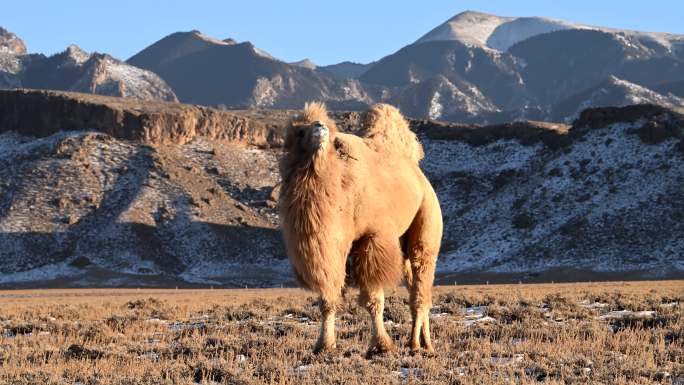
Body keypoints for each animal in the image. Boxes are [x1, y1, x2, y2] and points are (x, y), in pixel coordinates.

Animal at [278, 101, 444, 354]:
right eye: (300, 132)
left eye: (328, 129)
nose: (319, 126)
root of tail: (420, 175)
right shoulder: (334, 245)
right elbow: (328, 298)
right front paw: (324, 345)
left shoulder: (373, 239)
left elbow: (374, 300)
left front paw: (382, 345)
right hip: (403, 245)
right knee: (414, 284)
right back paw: (422, 342)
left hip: (428, 217)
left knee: (421, 280)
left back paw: (417, 344)